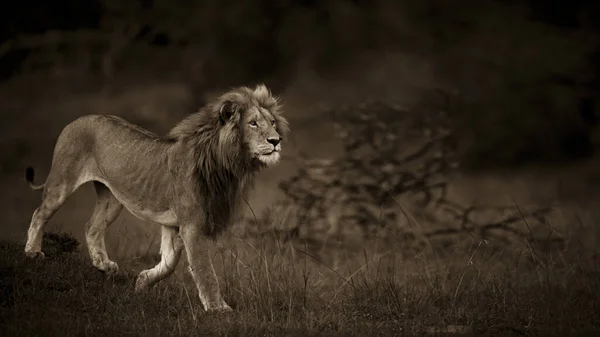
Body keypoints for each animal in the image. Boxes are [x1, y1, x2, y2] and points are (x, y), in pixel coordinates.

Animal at [24, 82, 292, 312]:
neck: (224, 162)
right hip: (63, 180)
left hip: (112, 198)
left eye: (272, 123)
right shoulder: (192, 225)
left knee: (92, 226)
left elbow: (170, 263)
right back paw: (32, 252)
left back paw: (104, 265)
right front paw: (218, 308)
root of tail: (78, 119)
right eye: (253, 123)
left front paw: (143, 282)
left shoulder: (174, 225)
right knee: (40, 212)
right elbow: (205, 270)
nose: (276, 140)